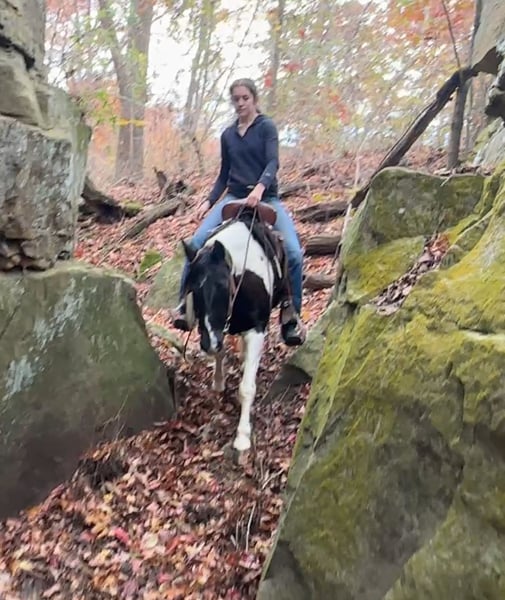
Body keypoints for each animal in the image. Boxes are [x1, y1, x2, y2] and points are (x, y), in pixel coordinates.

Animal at [181, 201, 291, 452]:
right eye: (191, 287)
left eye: (223, 286)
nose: (207, 343)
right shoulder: (216, 329)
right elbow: (220, 354)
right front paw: (218, 382)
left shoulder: (257, 330)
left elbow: (247, 387)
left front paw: (242, 437)